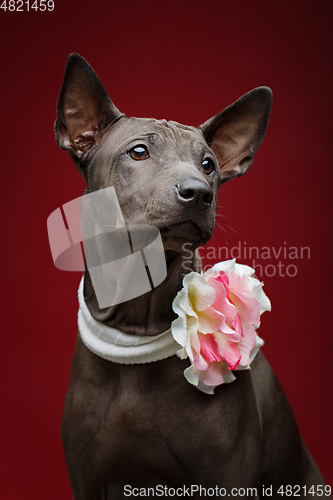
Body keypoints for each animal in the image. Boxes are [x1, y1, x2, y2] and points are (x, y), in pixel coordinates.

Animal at [55, 52, 326, 498]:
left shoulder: (227, 477)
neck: (138, 319)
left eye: (209, 164)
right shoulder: (88, 479)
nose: (198, 191)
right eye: (139, 152)